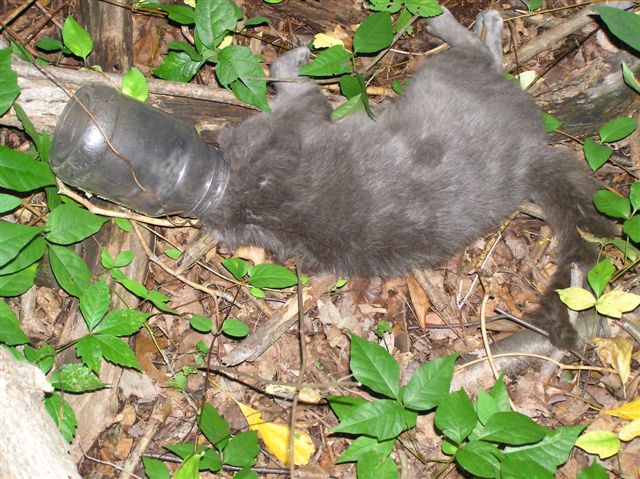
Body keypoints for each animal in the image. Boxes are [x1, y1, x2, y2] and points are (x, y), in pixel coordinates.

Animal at [205, 8, 608, 348]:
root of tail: (532, 154)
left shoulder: (297, 119)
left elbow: (285, 74)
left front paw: (298, 57)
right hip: (446, 76)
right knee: (487, 59)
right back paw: (472, 23)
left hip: (440, 74)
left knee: (484, 57)